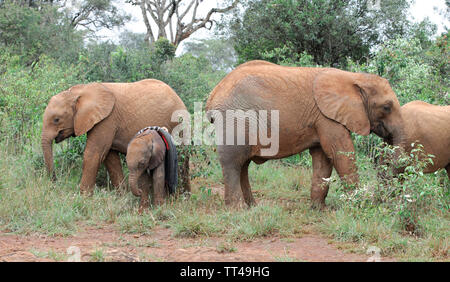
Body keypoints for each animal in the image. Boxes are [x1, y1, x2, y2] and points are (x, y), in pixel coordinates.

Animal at [41, 79, 188, 194]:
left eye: (56, 119)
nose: (54, 180)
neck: (79, 91)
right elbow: (110, 158)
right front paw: (122, 194)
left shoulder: (107, 120)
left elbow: (93, 153)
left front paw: (83, 196)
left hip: (179, 124)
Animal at [206, 61, 406, 207]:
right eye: (387, 107)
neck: (353, 77)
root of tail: (213, 94)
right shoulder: (327, 117)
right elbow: (341, 153)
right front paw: (360, 205)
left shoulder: (322, 118)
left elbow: (323, 159)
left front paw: (318, 209)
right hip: (236, 118)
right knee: (233, 161)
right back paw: (238, 209)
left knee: (243, 164)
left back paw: (252, 207)